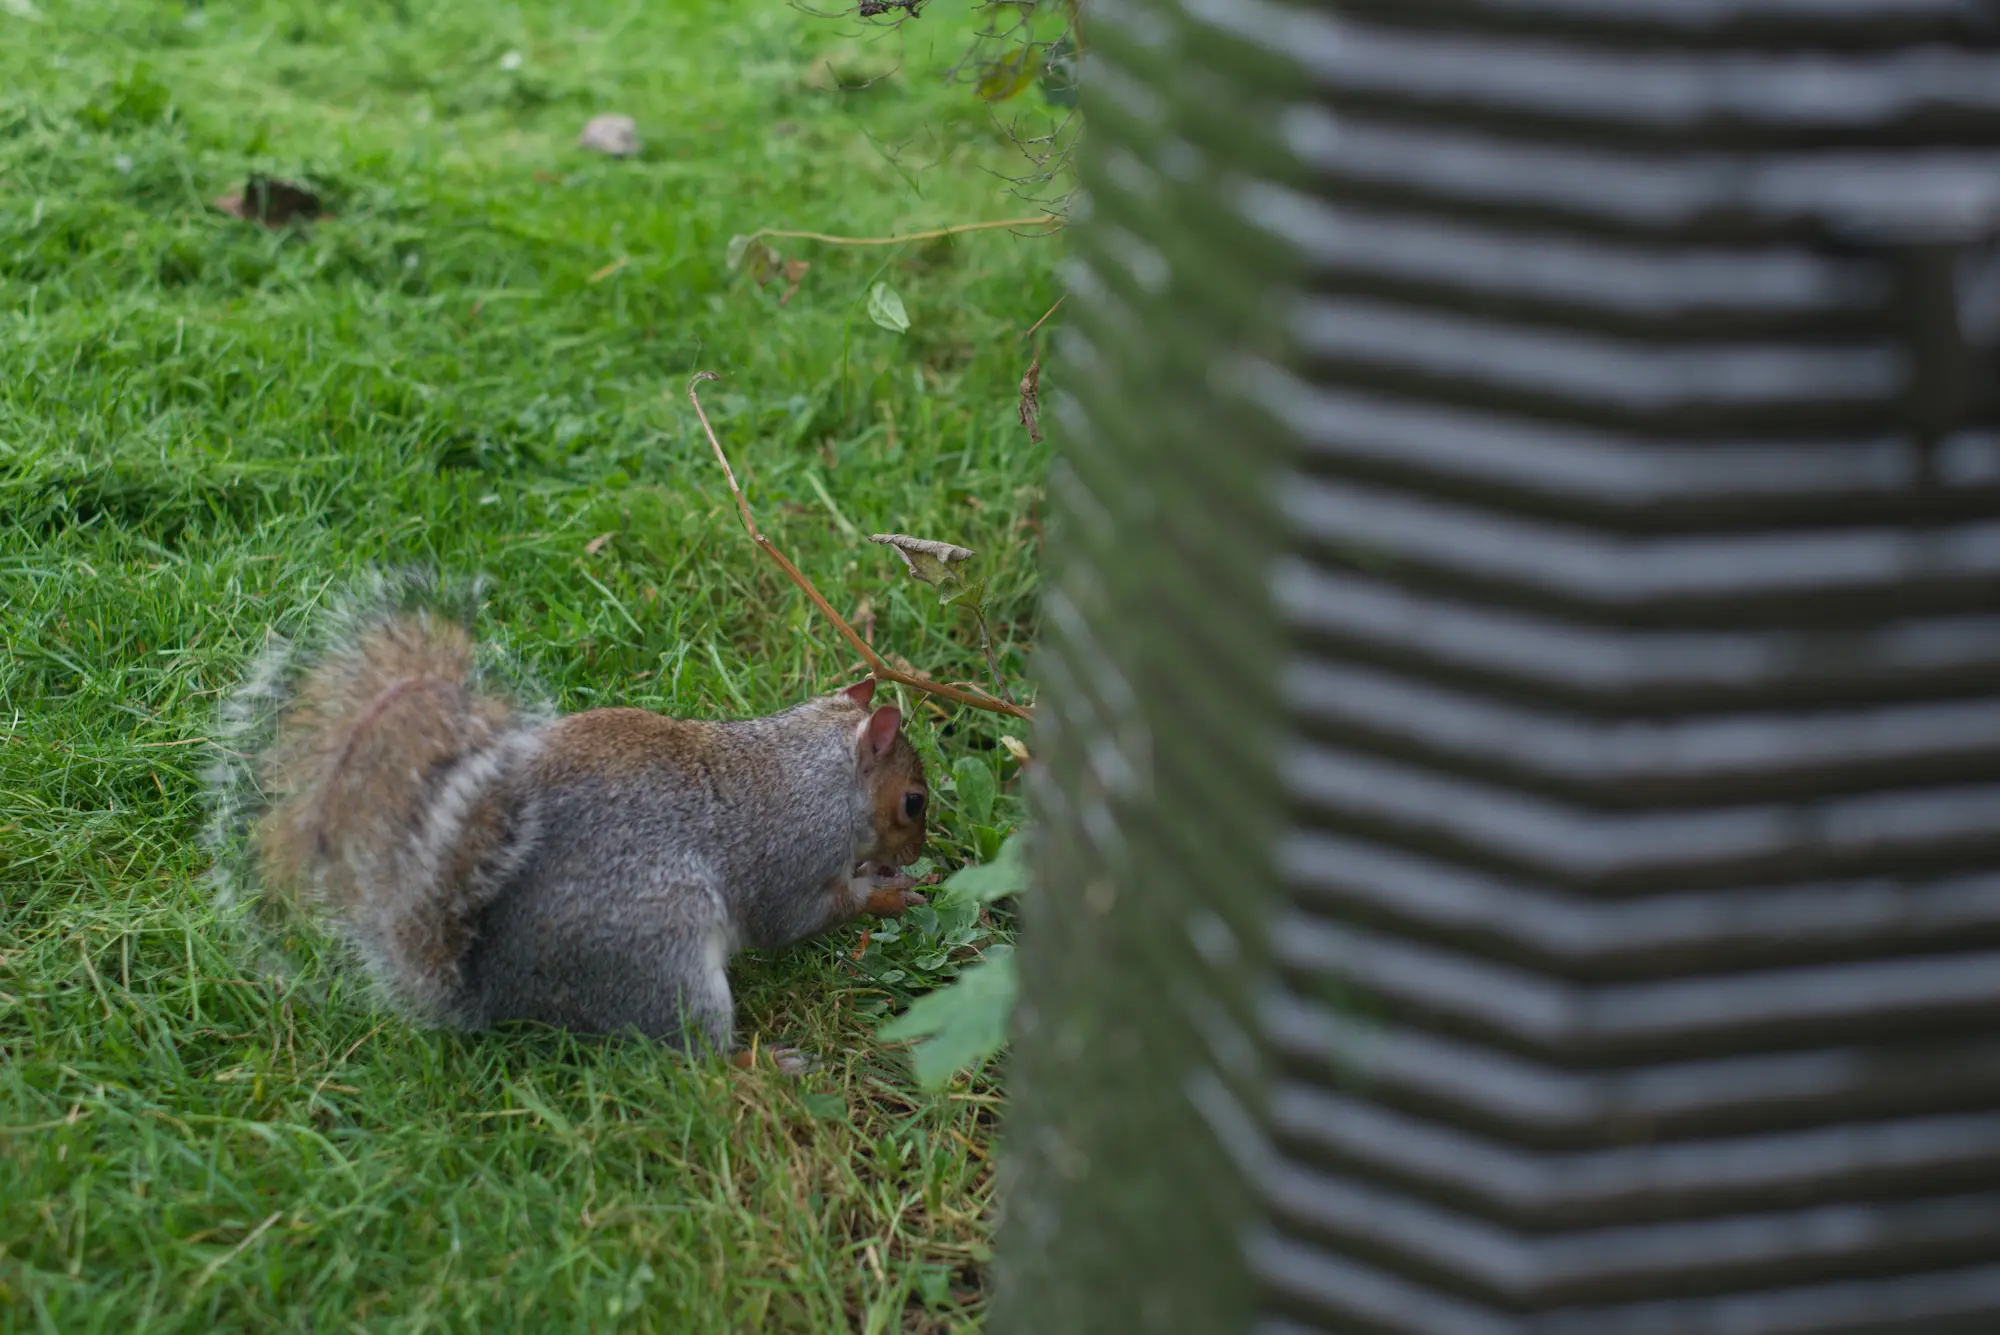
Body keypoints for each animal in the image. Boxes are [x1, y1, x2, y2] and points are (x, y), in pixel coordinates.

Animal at [204, 574, 929, 1060]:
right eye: (913, 801)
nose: (919, 851)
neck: (813, 767)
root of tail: (496, 990)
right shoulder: (790, 856)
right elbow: (797, 918)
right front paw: (884, 893)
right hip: (663, 952)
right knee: (695, 1056)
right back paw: (765, 1064)